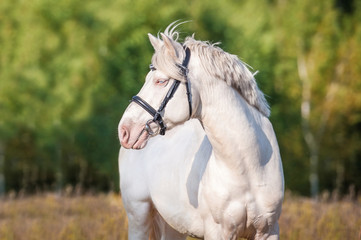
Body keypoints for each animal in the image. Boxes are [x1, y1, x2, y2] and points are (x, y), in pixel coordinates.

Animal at [118, 23, 284, 240]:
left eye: (160, 81)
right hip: (138, 216)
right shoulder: (218, 232)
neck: (250, 165)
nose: (124, 130)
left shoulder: (268, 231)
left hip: (173, 225)